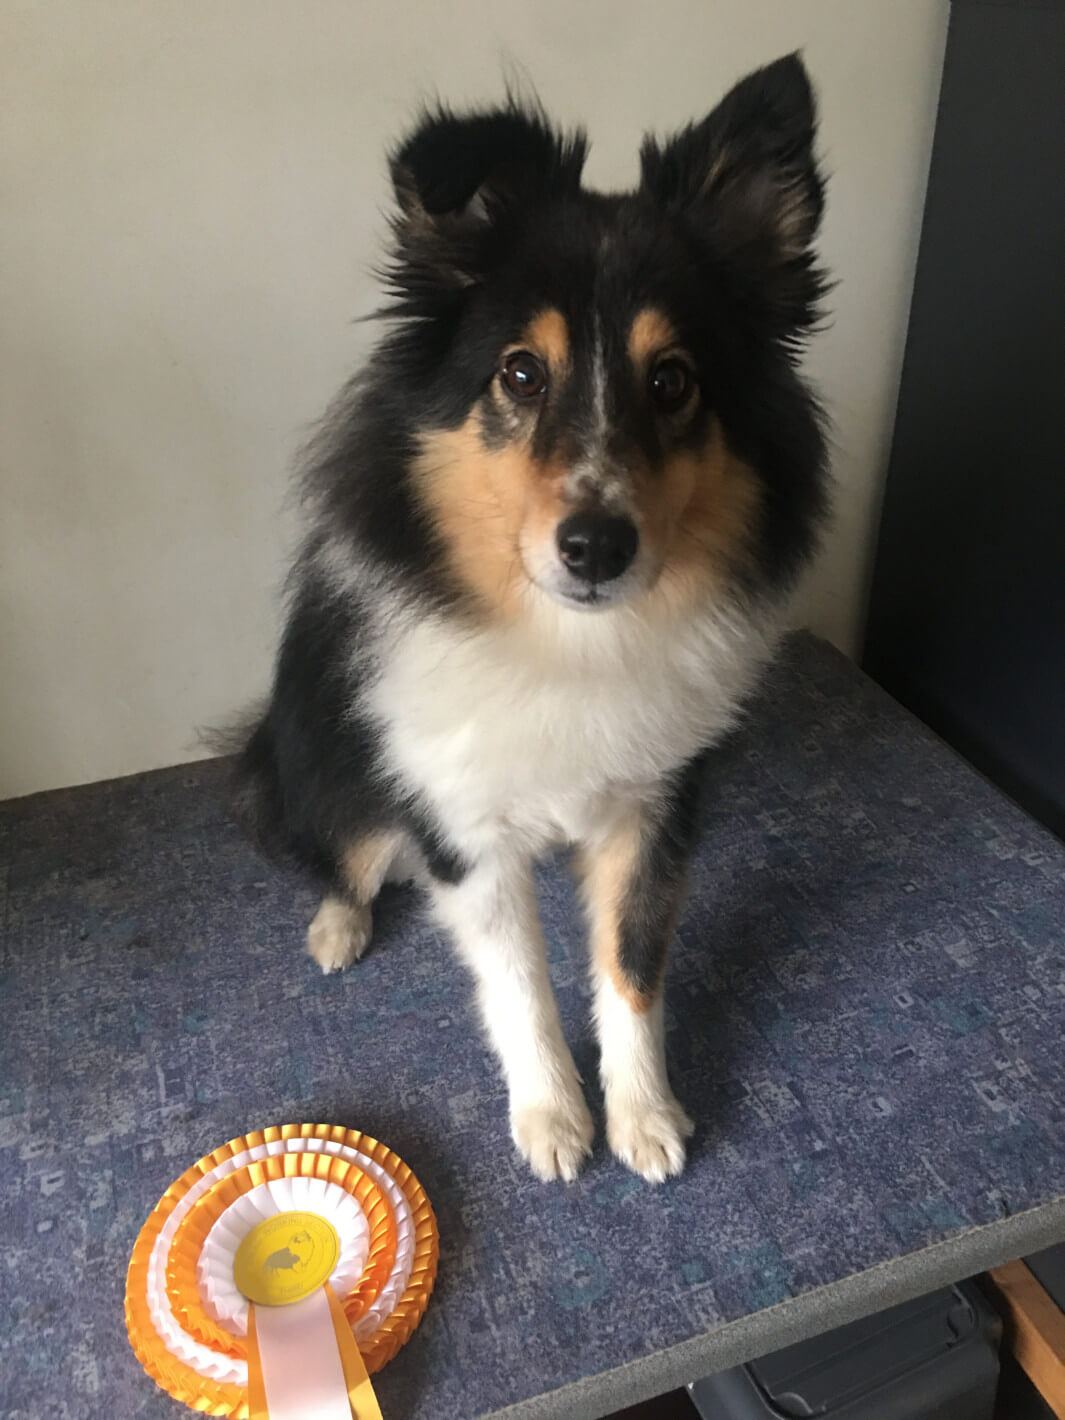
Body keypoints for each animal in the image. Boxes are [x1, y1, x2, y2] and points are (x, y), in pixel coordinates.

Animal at [230, 52, 834, 1187]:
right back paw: (336, 924)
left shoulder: (655, 808)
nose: (596, 546)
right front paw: (552, 1118)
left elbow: (632, 965)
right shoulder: (463, 830)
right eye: (519, 372)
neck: (572, 644)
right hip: (331, 765)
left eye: (673, 380)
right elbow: (519, 982)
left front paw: (644, 1115)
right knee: (337, 848)